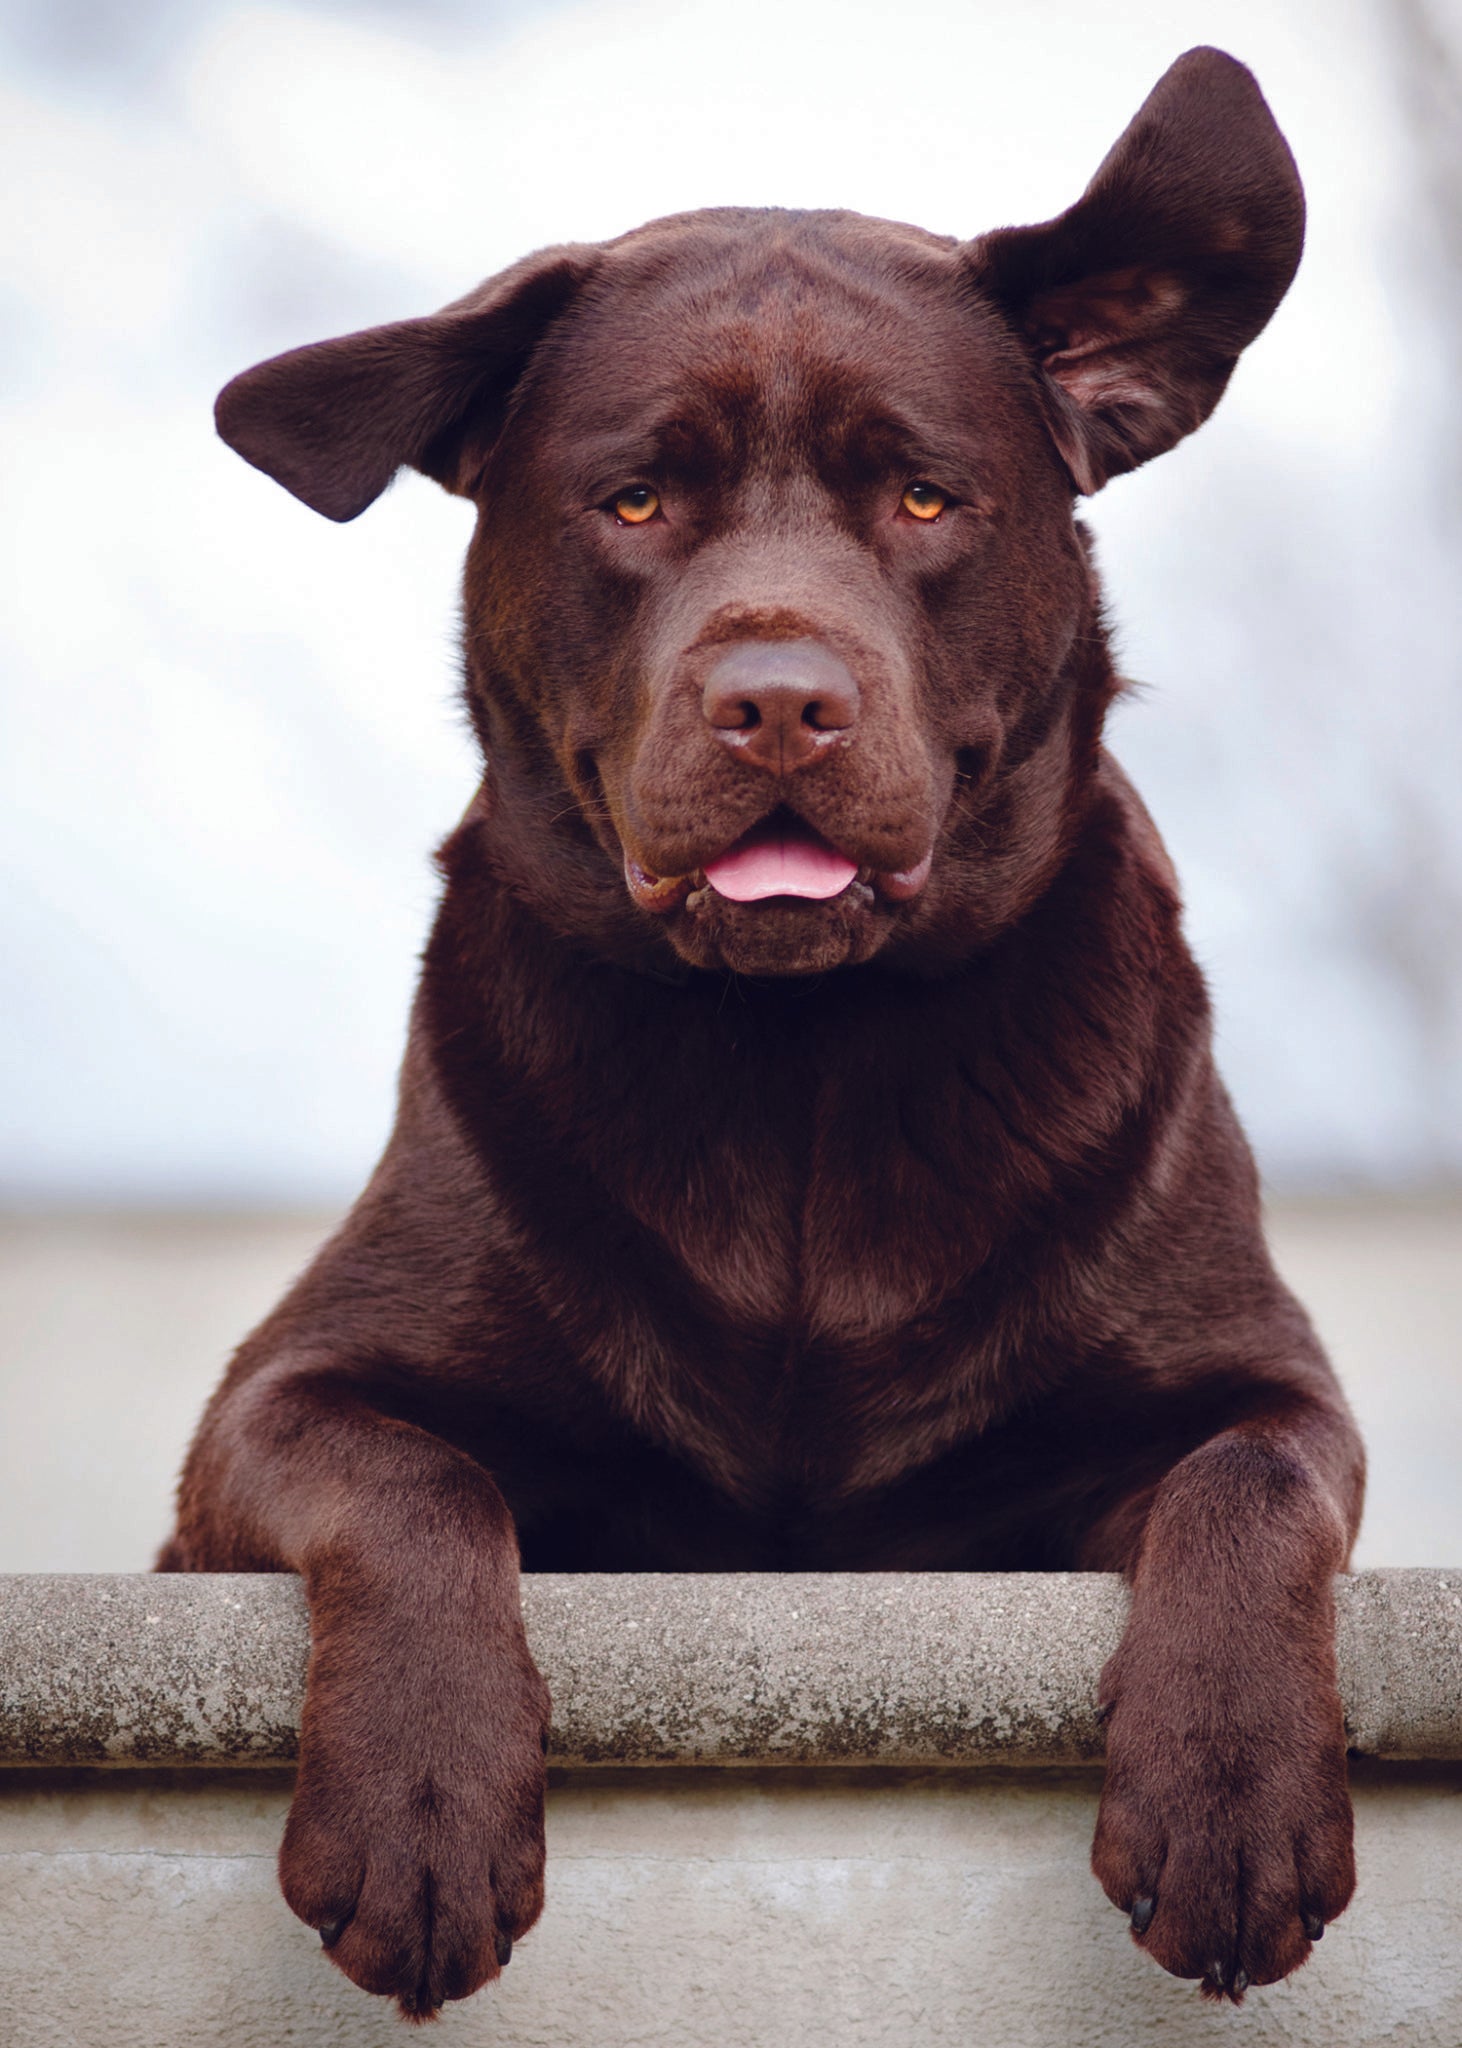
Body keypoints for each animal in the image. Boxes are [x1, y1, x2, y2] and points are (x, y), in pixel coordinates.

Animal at [164, 44, 1359, 2015]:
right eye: (637, 501)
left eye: (927, 501)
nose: (779, 699)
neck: (802, 1069)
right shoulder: (270, 1406)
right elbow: (416, 1480)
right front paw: (418, 1810)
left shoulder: (1259, 1381)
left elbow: (1250, 1480)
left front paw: (1233, 1799)